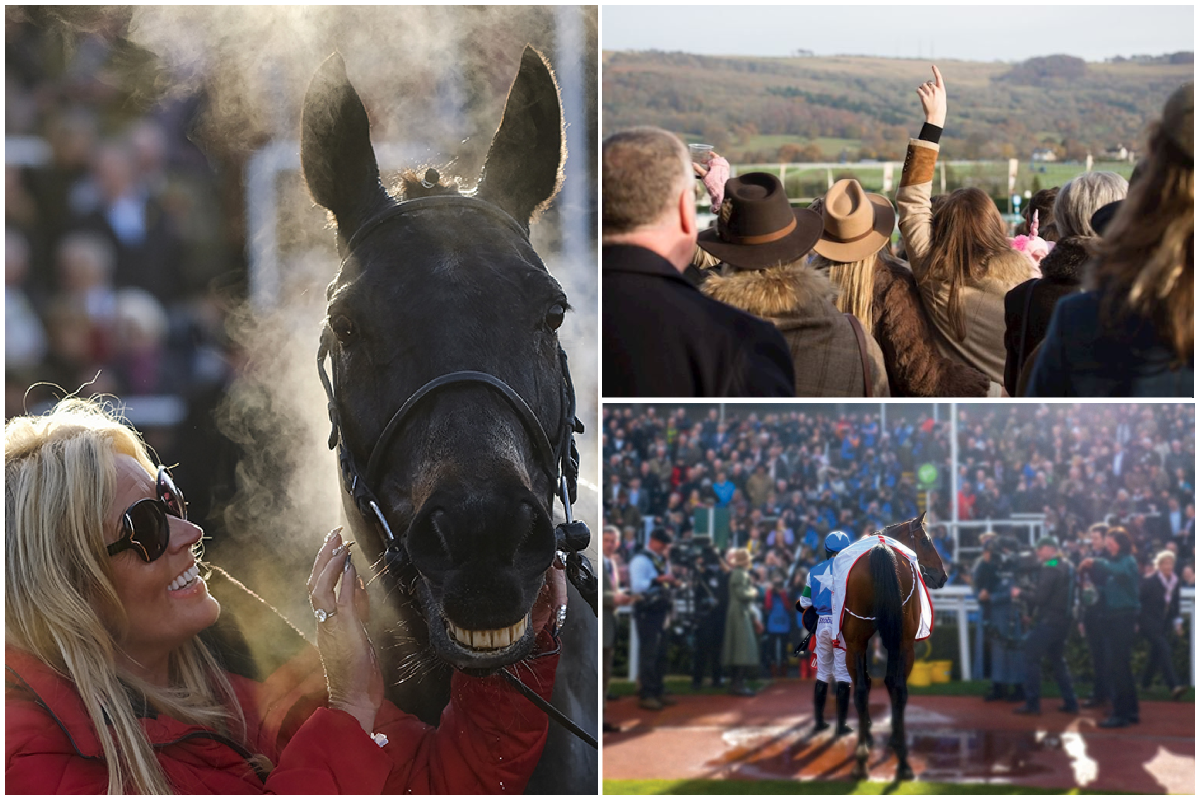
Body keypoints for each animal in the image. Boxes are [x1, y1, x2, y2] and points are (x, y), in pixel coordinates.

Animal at [844, 513, 945, 782]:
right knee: (896, 689)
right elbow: (889, 684)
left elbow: (874, 683)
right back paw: (898, 761)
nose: (943, 575)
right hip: (900, 643)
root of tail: (881, 551)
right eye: (925, 541)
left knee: (866, 689)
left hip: (860, 641)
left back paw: (867, 759)